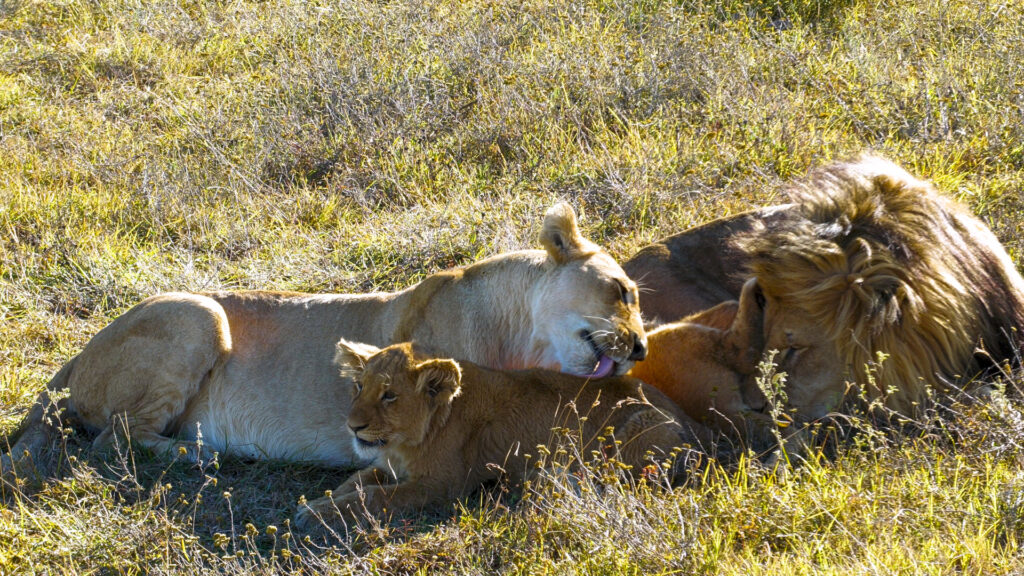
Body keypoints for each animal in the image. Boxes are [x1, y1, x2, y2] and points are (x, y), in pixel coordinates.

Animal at [4, 203, 647, 473]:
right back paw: (202, 452)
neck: (518, 333)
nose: (641, 348)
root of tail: (77, 353)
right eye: (622, 291)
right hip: (197, 311)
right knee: (112, 441)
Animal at [294, 338, 704, 528]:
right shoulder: (392, 468)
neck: (408, 442)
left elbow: (374, 497)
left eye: (389, 395)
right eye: (358, 387)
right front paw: (316, 502)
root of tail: (694, 424)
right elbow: (357, 480)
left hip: (638, 431)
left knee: (620, 487)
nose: (353, 426)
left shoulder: (439, 487)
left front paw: (313, 514)